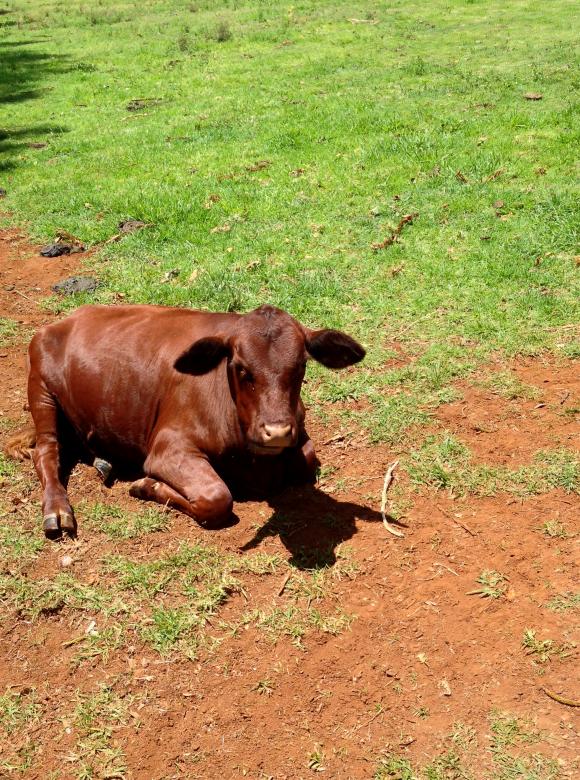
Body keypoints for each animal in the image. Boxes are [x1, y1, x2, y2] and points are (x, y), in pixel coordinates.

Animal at [6, 304, 365, 537]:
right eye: (240, 368)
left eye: (301, 365)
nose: (276, 432)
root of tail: (61, 322)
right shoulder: (168, 448)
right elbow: (217, 498)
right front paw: (147, 485)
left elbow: (307, 459)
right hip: (41, 391)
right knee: (47, 452)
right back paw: (57, 511)